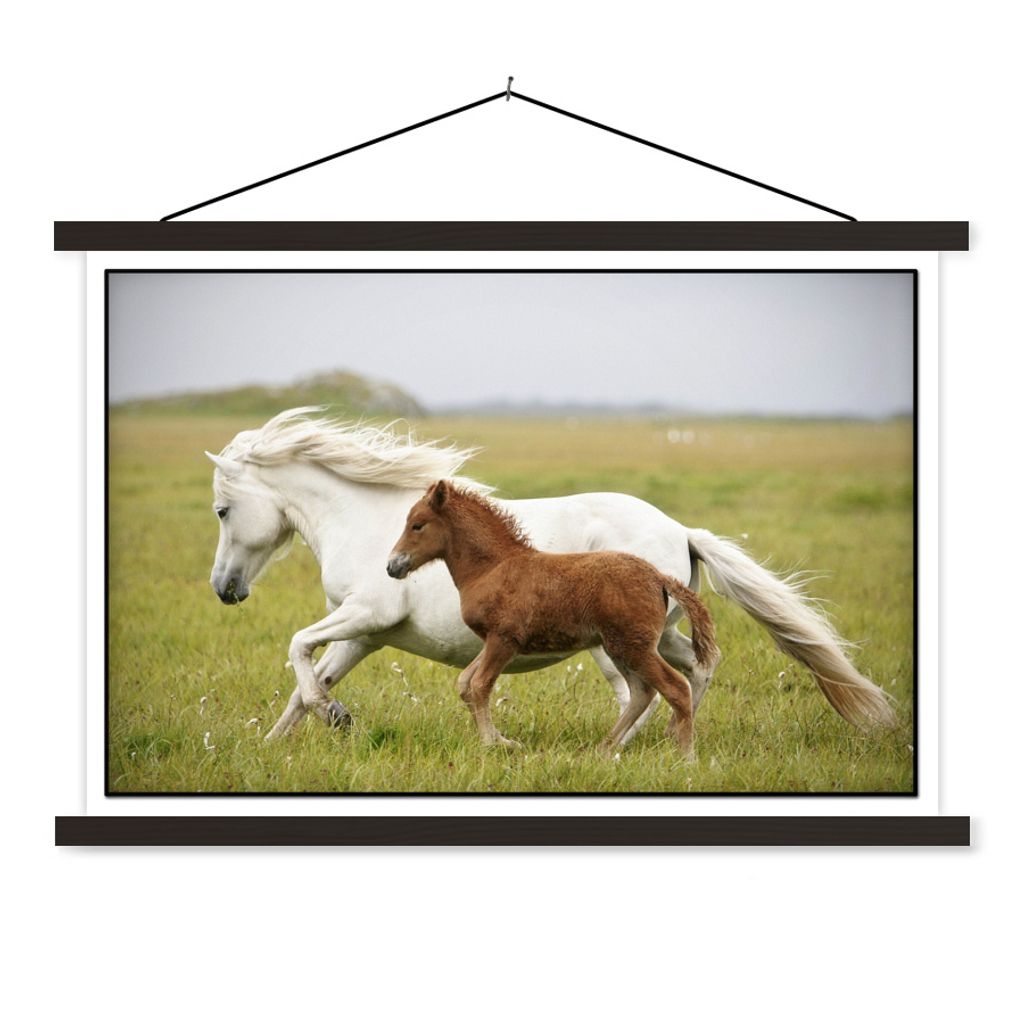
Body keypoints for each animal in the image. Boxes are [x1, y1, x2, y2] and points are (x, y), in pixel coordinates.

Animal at [386, 480, 719, 753]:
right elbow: (465, 683)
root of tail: (658, 577)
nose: (393, 566)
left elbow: (480, 685)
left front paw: (492, 744)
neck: (492, 567)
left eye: (417, 525)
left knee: (675, 688)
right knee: (643, 692)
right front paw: (500, 740)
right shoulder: (493, 641)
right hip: (620, 647)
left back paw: (685, 757)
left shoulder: (503, 640)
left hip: (633, 647)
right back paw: (603, 749)